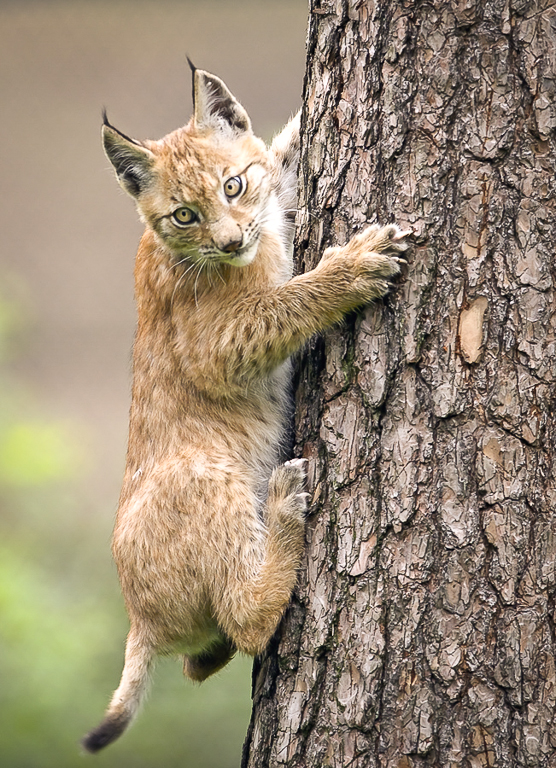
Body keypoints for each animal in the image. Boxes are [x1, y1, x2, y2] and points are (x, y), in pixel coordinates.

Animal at [83, 64, 412, 752]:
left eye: (232, 186)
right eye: (185, 216)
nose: (231, 240)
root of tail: (139, 621)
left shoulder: (270, 193)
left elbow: (279, 150)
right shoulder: (216, 346)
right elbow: (286, 301)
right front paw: (351, 270)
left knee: (200, 659)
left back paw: (208, 650)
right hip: (206, 473)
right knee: (245, 618)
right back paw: (284, 508)